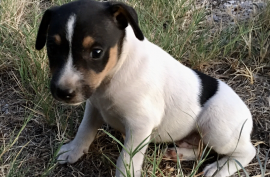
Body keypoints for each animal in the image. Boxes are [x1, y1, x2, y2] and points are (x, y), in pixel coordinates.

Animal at [35, 0, 255, 176]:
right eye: (52, 48)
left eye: (96, 52)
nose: (63, 92)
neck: (115, 72)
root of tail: (246, 112)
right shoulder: (94, 107)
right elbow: (85, 130)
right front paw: (73, 150)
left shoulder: (140, 125)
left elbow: (126, 160)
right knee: (201, 149)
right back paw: (178, 153)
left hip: (215, 127)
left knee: (246, 152)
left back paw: (220, 168)